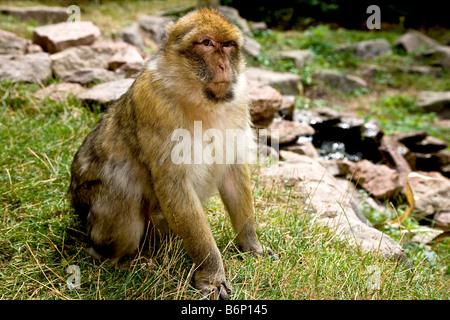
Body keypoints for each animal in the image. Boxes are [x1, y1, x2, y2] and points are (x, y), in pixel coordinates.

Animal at [68, 9, 272, 300]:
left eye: (228, 45)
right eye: (206, 43)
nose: (224, 66)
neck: (199, 98)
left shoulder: (238, 102)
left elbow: (233, 174)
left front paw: (251, 245)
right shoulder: (154, 102)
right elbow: (172, 184)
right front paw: (211, 274)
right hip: (92, 217)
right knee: (122, 191)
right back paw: (117, 259)